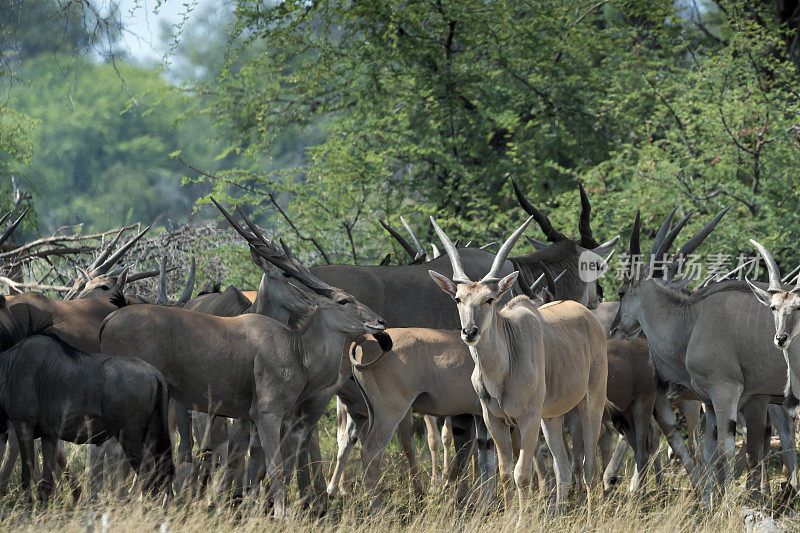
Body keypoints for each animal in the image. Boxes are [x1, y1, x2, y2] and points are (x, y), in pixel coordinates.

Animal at [432, 215, 608, 512]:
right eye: (458, 298)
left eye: (489, 299)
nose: (469, 332)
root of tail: (589, 316)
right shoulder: (495, 421)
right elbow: (505, 474)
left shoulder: (528, 419)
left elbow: (522, 475)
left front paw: (521, 517)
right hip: (551, 417)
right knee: (563, 468)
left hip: (590, 402)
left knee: (589, 466)